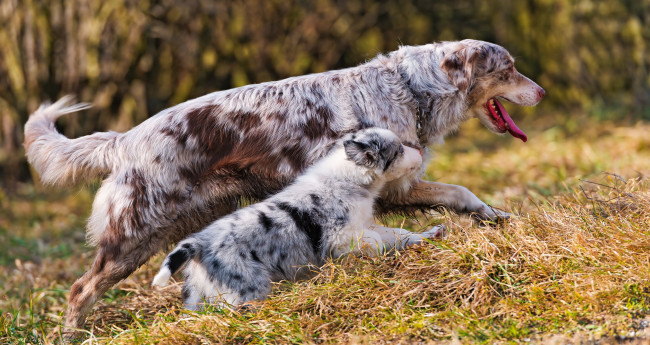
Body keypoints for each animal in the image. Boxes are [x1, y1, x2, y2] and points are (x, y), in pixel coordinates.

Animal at [153, 127, 446, 310]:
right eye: (398, 151)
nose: (421, 152)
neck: (349, 178)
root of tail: (198, 243)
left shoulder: (364, 224)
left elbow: (398, 234)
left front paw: (431, 234)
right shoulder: (342, 237)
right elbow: (375, 242)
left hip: (198, 295)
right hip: (244, 290)